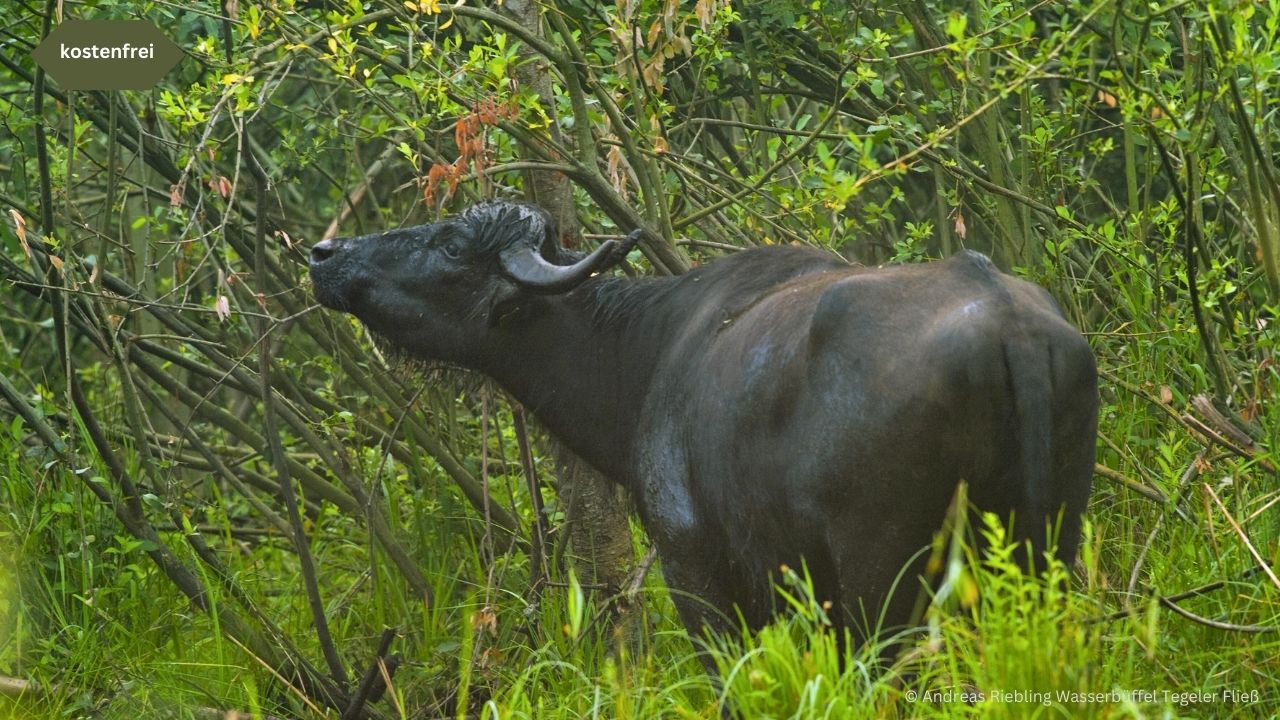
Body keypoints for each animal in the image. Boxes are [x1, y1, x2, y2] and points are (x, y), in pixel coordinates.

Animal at [304, 199, 1095, 645]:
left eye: (448, 244)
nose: (325, 252)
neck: (647, 352)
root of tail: (1015, 327)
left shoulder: (695, 568)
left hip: (885, 567)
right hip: (1048, 547)